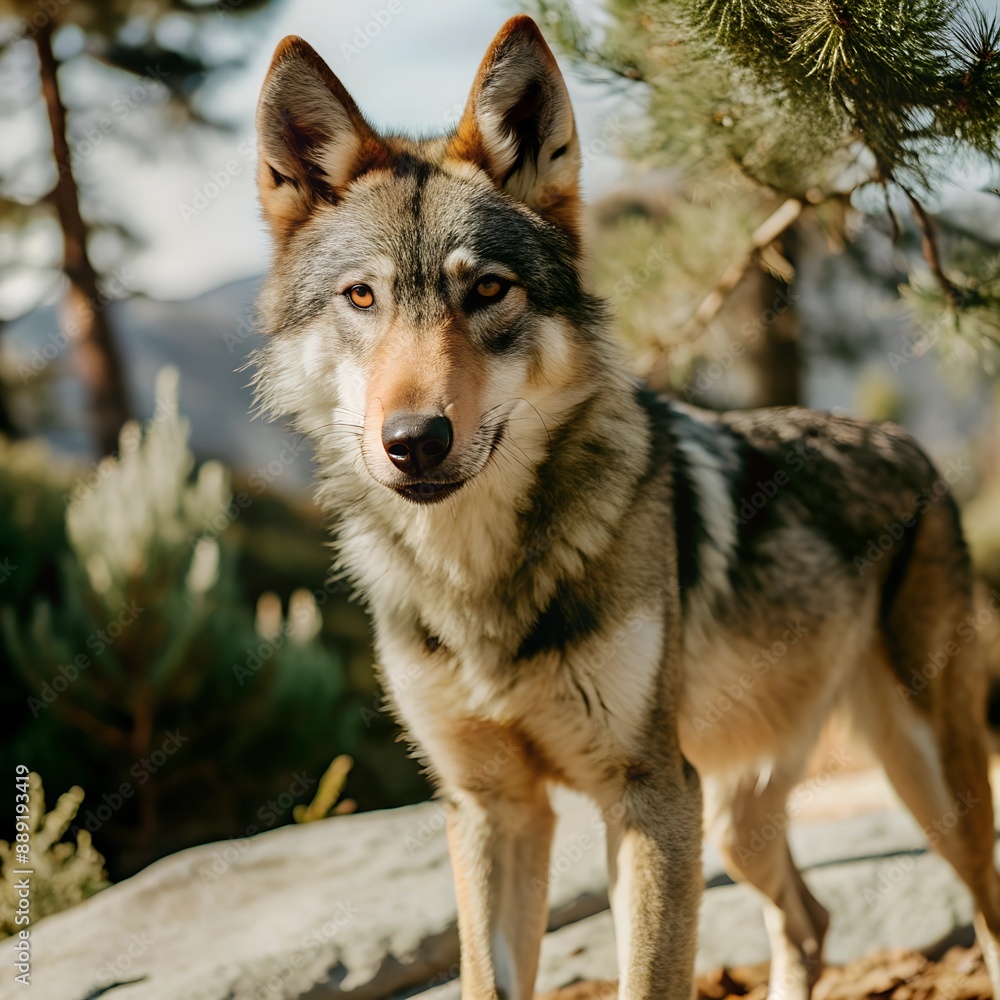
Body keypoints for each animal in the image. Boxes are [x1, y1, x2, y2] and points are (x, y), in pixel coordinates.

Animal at [251, 16, 1000, 1000]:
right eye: (361, 296)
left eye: (486, 290)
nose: (414, 440)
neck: (479, 579)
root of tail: (908, 446)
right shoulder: (493, 809)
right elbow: (488, 977)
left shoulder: (648, 794)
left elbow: (649, 976)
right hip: (734, 821)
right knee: (810, 918)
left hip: (921, 782)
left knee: (980, 906)